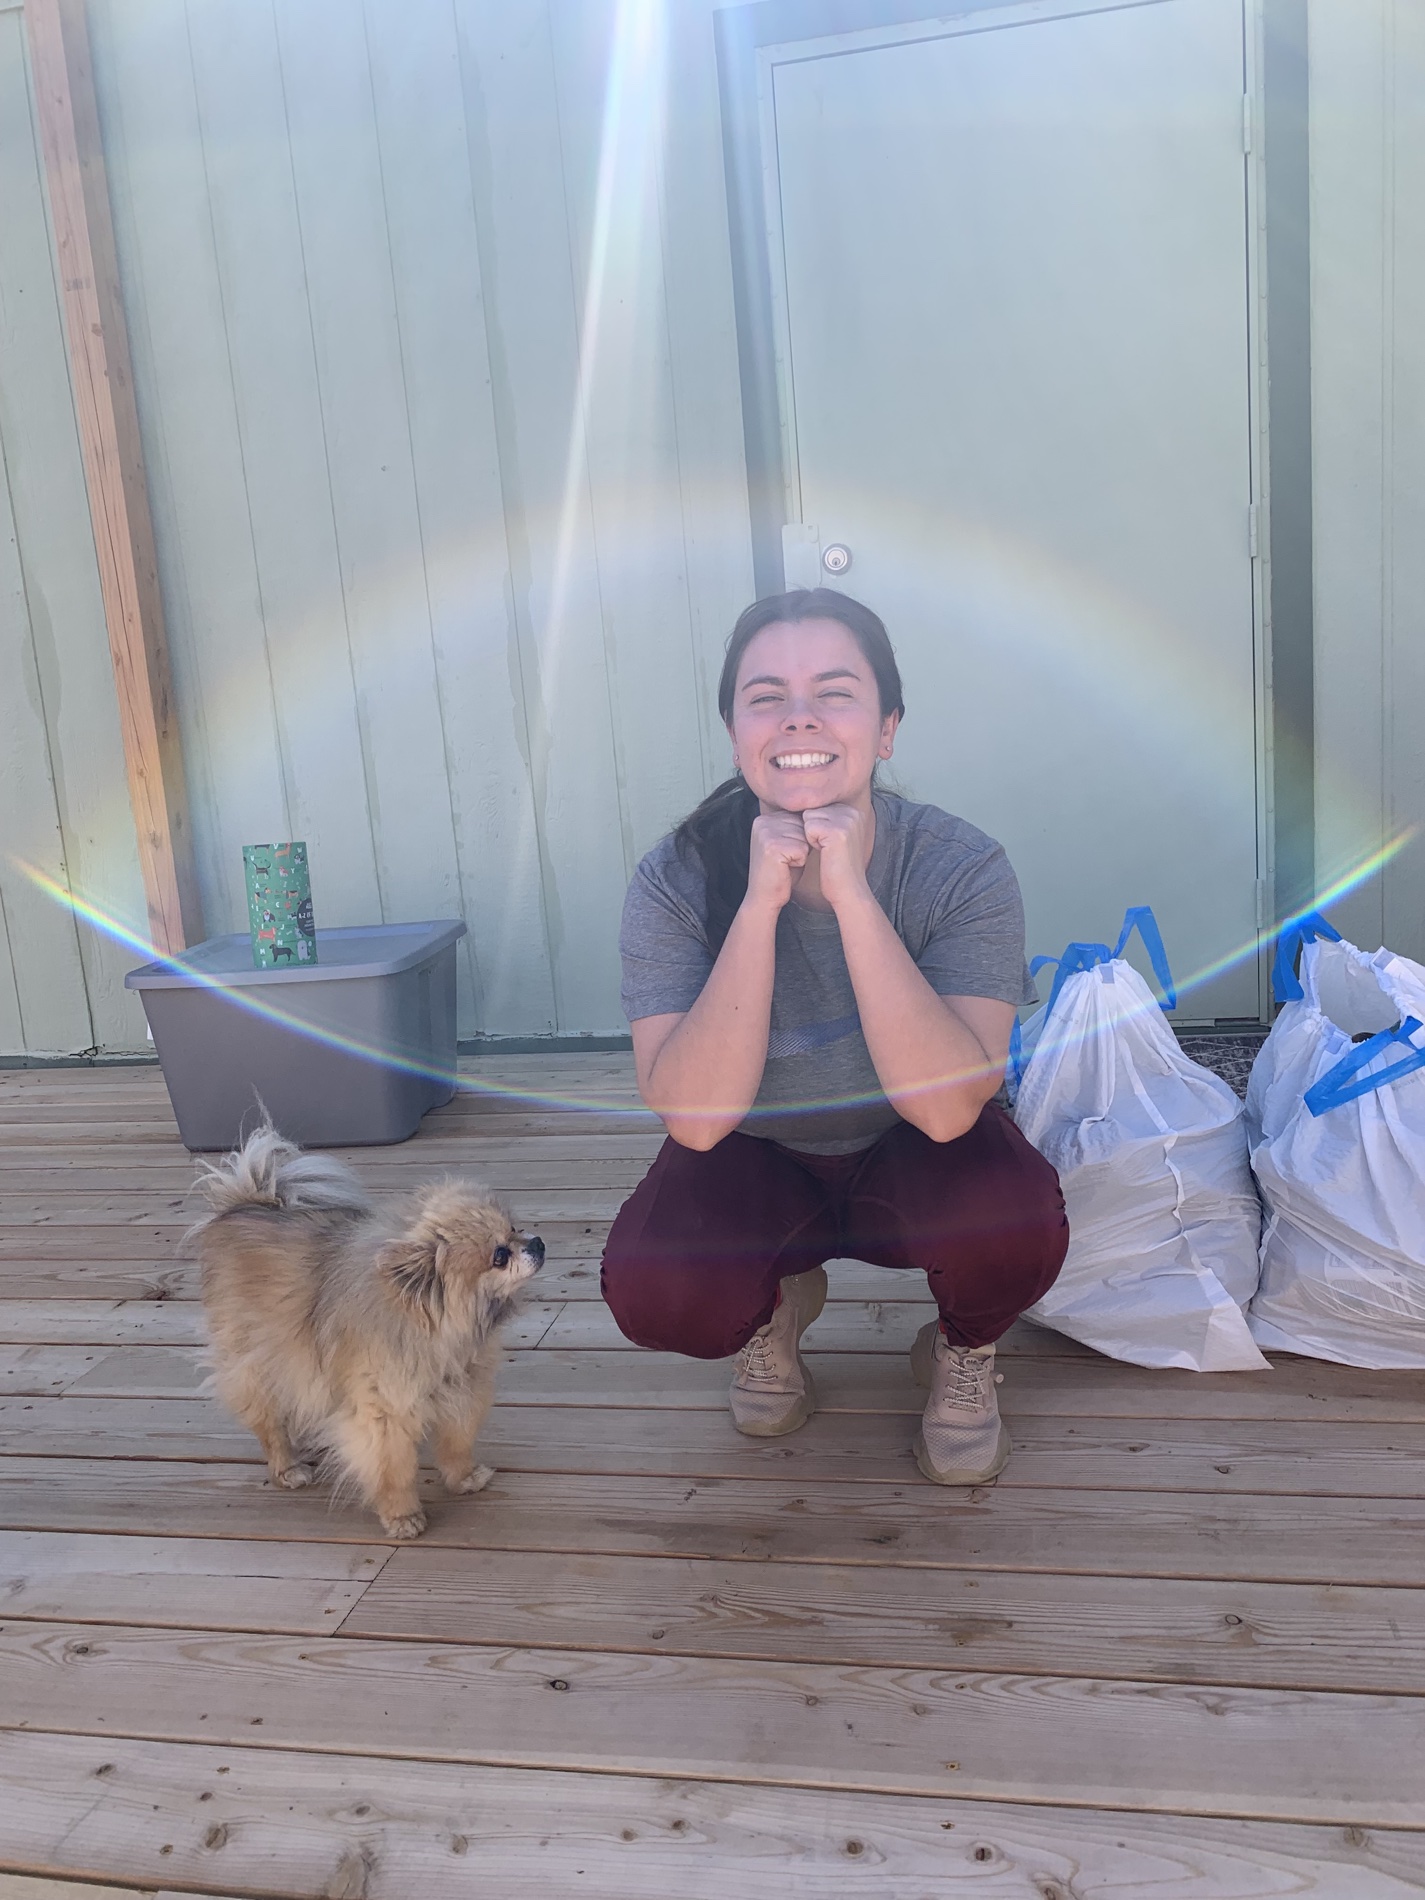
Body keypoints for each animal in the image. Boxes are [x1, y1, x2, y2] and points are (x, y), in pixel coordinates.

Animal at [189, 1122, 543, 1537]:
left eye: (515, 1228)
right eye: (499, 1256)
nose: (538, 1242)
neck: (435, 1328)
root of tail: (245, 1202)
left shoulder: (464, 1390)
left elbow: (457, 1444)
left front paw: (464, 1479)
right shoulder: (384, 1413)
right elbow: (392, 1469)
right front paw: (403, 1516)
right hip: (256, 1364)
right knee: (269, 1423)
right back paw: (287, 1468)